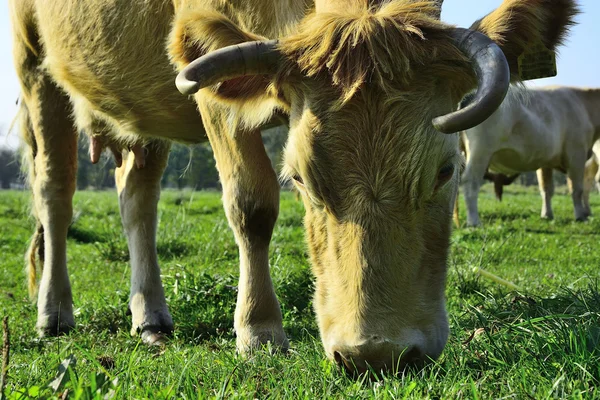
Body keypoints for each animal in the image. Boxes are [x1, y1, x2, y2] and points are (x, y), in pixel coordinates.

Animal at [10, 0, 576, 376]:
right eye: (299, 176)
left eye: (445, 170)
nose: (376, 354)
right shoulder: (215, 90)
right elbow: (251, 204)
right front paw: (259, 329)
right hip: (33, 62)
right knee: (55, 193)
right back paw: (54, 311)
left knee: (137, 199)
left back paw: (150, 314)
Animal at [460, 85, 596, 227]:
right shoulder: (577, 153)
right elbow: (577, 189)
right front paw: (581, 216)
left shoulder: (546, 162)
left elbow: (546, 188)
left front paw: (547, 215)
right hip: (480, 151)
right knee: (470, 181)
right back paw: (474, 221)